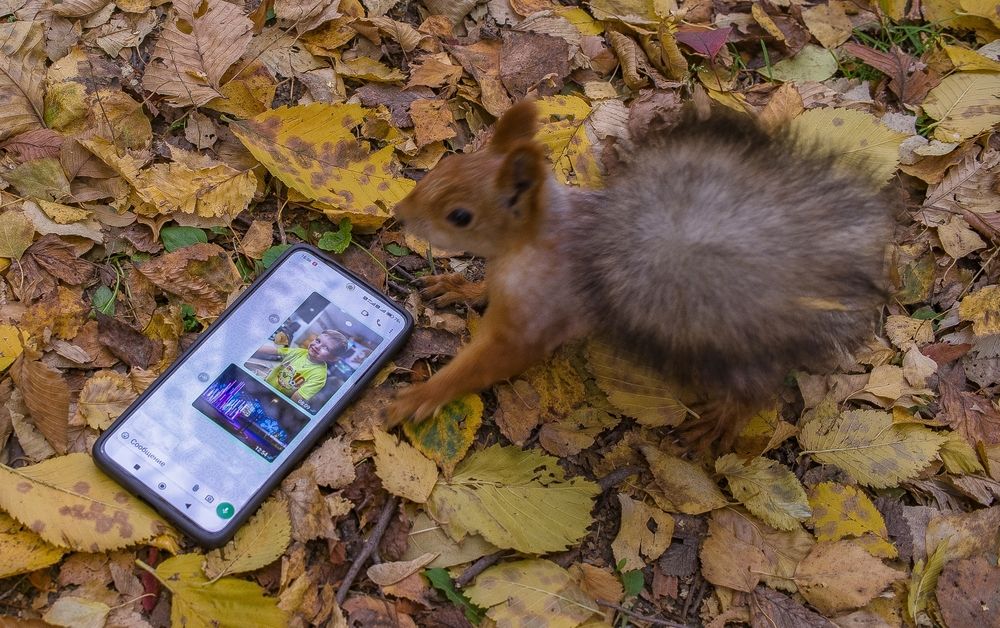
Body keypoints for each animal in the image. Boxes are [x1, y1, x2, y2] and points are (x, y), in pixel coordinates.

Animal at [384, 99, 893, 450]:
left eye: (460, 216)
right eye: (446, 163)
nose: (398, 212)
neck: (526, 246)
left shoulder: (537, 314)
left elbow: (496, 358)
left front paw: (423, 395)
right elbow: (484, 289)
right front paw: (459, 287)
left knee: (754, 392)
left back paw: (723, 420)